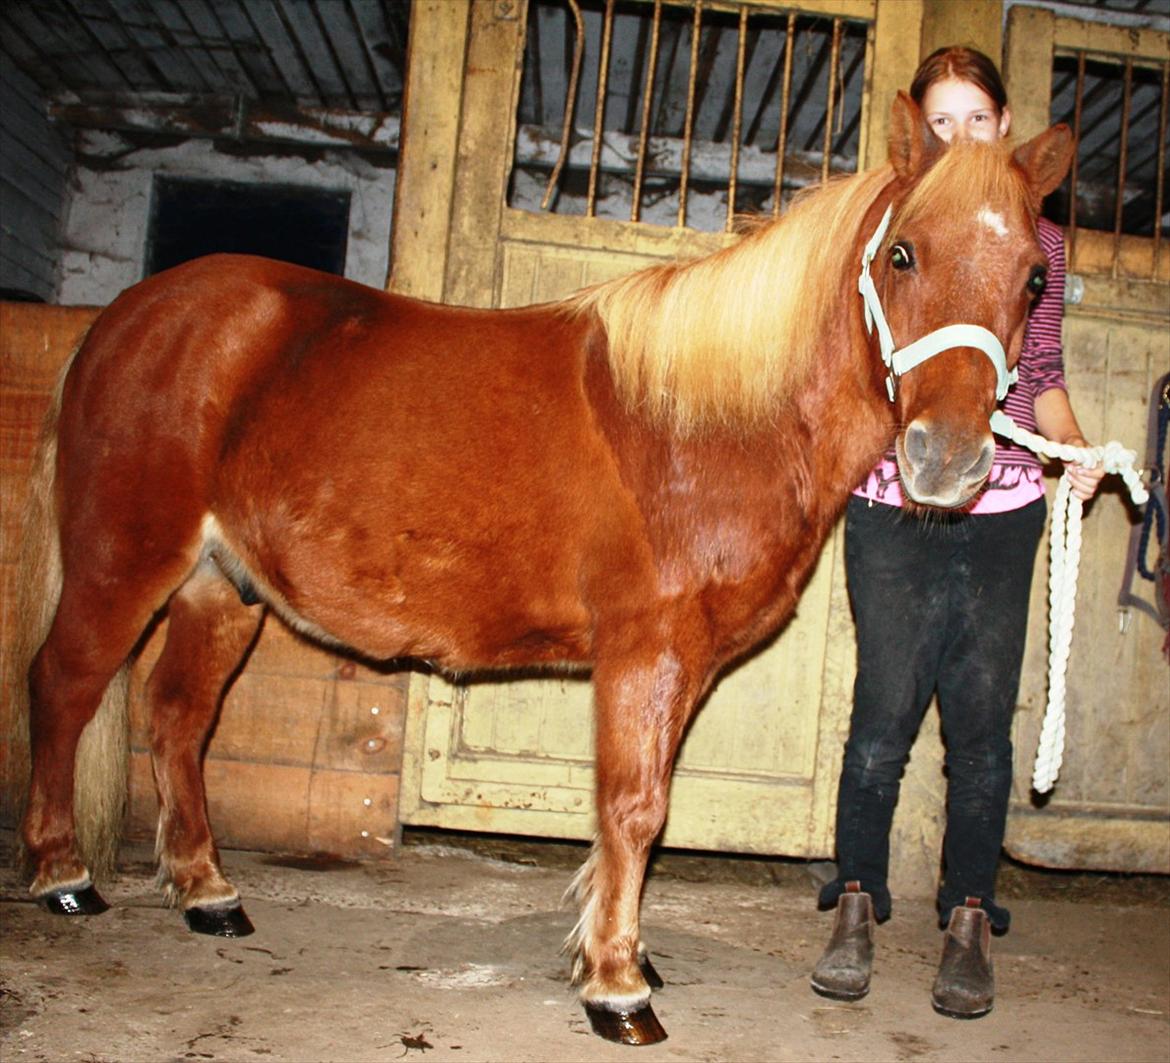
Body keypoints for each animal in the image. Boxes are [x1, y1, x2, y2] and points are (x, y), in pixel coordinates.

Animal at [11, 99, 1071, 1043]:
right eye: (903, 254)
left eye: (1031, 280)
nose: (948, 460)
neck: (709, 421)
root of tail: (127, 317)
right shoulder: (645, 652)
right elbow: (635, 808)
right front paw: (617, 988)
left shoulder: (679, 665)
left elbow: (640, 807)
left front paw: (621, 952)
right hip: (125, 562)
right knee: (64, 683)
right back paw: (63, 875)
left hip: (220, 587)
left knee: (176, 716)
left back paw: (208, 893)